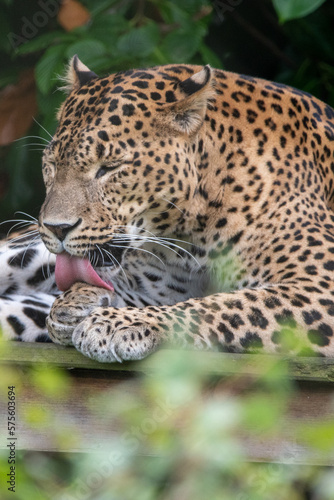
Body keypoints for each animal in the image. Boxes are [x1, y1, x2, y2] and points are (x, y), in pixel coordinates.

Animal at [0, 54, 334, 362]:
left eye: (109, 167)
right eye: (53, 164)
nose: (57, 228)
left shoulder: (320, 285)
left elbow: (224, 305)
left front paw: (116, 324)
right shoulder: (151, 288)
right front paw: (78, 302)